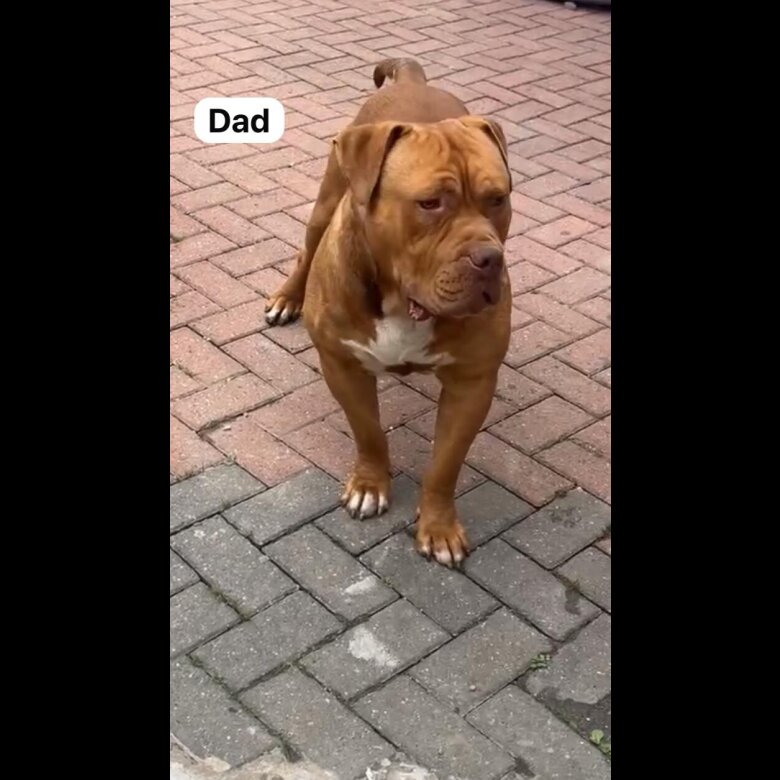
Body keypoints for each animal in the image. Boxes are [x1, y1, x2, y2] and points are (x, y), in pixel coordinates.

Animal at [265, 58, 512, 566]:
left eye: (498, 199)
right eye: (430, 203)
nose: (489, 258)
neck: (404, 303)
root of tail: (412, 78)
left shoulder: (472, 383)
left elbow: (444, 464)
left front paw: (438, 527)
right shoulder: (342, 364)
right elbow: (369, 432)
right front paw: (370, 484)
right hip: (324, 204)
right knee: (306, 251)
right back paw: (286, 298)